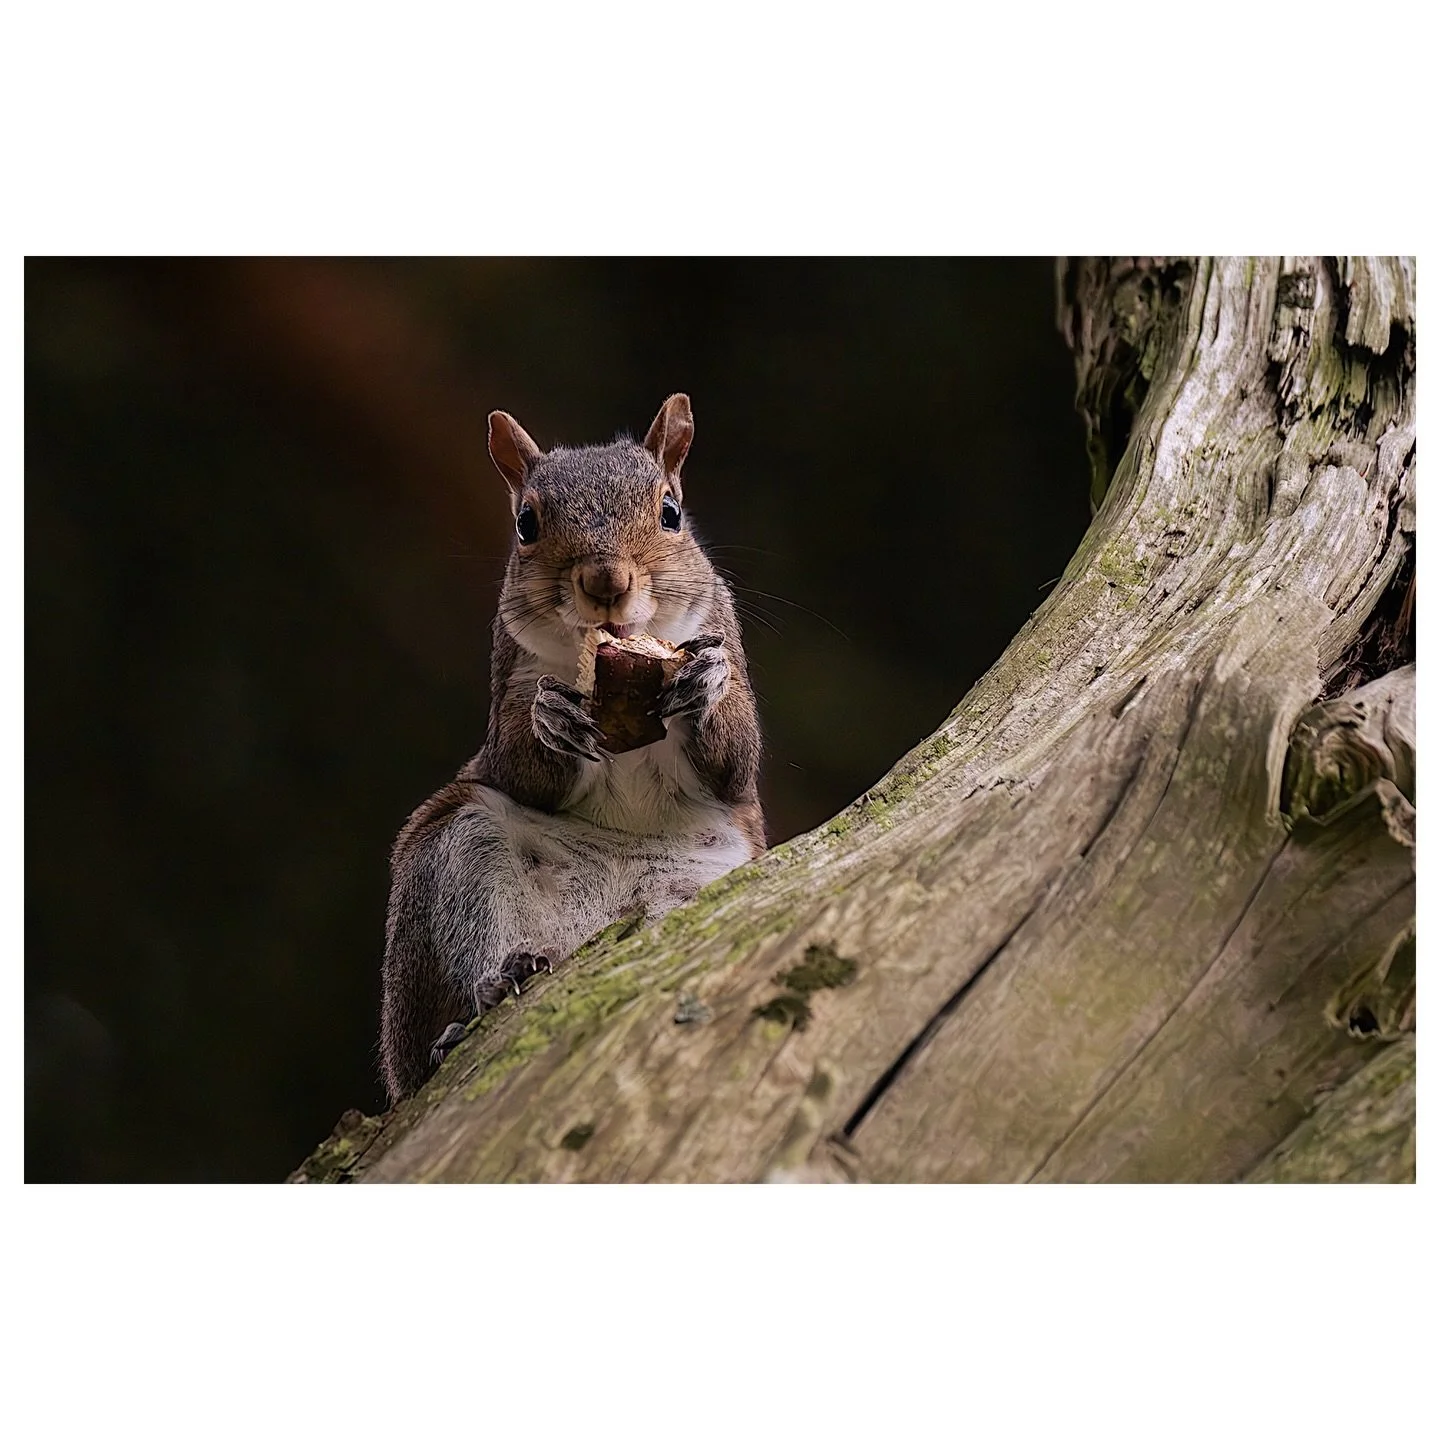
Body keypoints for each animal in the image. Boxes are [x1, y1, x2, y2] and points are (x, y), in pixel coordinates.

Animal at [379, 394, 765, 1102]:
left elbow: (735, 762)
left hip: (696, 886)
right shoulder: (511, 673)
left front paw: (708, 684)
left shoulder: (722, 637)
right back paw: (480, 1002)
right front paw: (548, 720)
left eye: (671, 511)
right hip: (456, 855)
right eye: (526, 523)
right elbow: (516, 761)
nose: (605, 580)